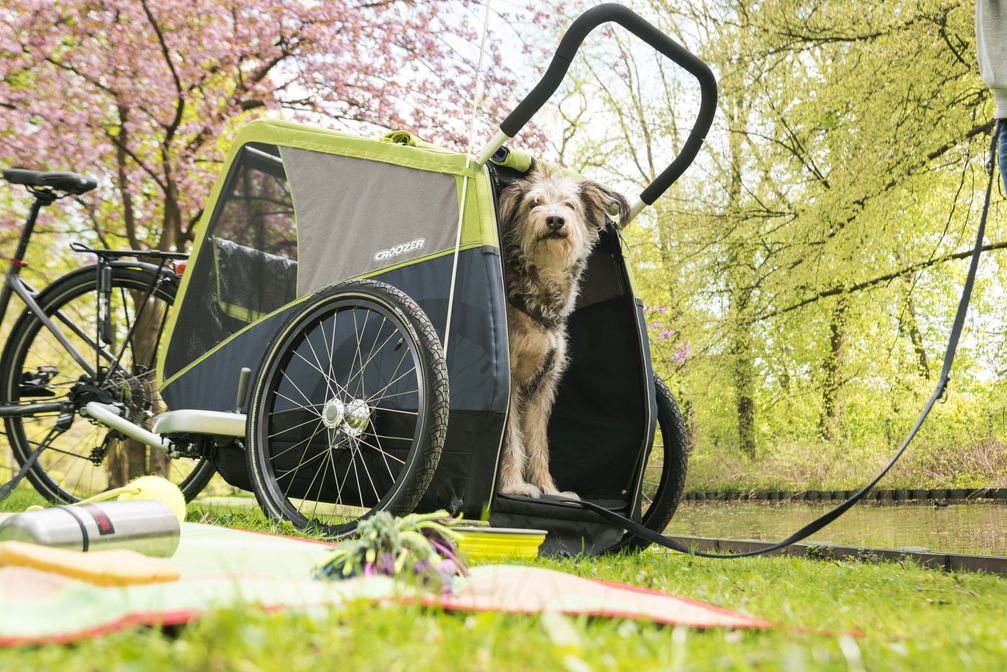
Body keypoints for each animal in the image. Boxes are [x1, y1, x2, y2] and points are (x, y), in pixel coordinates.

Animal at [493, 164, 624, 499]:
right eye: (533, 203)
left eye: (569, 205)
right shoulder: (511, 385)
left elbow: (538, 442)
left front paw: (549, 489)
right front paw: (514, 486)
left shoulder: (543, 386)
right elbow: (511, 441)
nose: (555, 220)